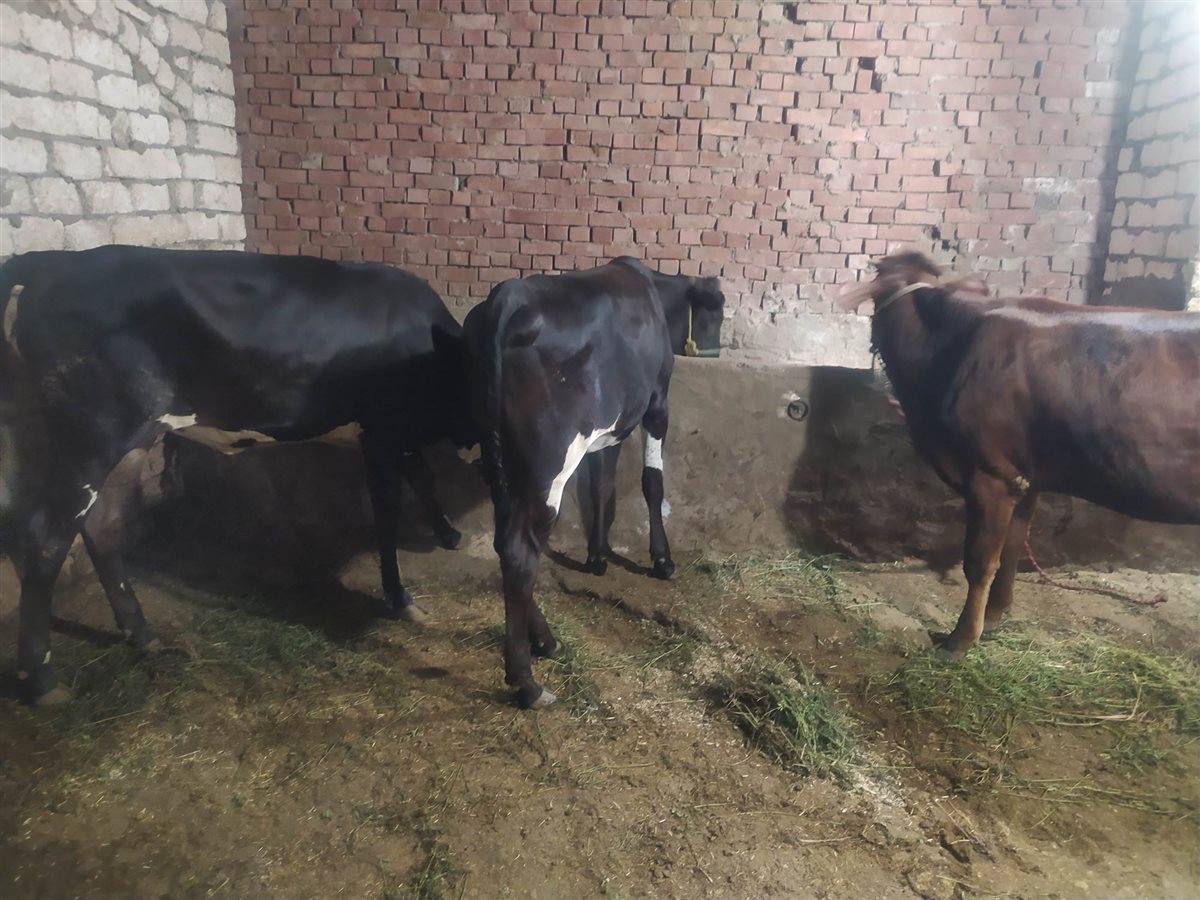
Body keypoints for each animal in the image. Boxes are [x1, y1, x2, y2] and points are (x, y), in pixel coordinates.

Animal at [0, 245, 476, 705]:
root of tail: (51, 261)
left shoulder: (400, 434)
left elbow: (423, 474)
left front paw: (448, 533)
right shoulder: (380, 431)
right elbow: (388, 514)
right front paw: (401, 598)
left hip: (134, 437)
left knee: (104, 524)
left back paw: (142, 635)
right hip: (93, 434)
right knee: (45, 537)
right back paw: (40, 679)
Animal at [462, 257, 725, 708]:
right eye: (716, 316)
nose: (719, 352)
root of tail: (508, 298)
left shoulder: (607, 430)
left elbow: (602, 485)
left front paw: (597, 555)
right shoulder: (656, 402)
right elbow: (651, 482)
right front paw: (662, 559)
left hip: (499, 453)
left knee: (504, 542)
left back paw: (546, 641)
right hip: (550, 463)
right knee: (519, 550)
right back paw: (527, 681)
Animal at [849, 251, 1200, 657]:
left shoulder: (990, 474)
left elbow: (980, 559)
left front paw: (961, 639)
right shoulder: (1025, 477)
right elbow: (1013, 550)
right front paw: (996, 615)